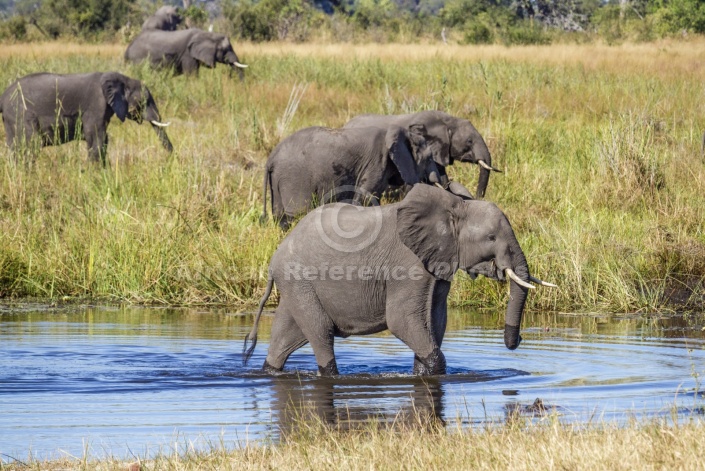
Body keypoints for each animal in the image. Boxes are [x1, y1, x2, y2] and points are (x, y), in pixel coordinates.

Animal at [0, 71, 174, 165]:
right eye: (145, 101)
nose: (173, 157)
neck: (122, 78)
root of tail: (3, 96)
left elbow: (103, 140)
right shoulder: (95, 105)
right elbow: (97, 138)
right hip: (20, 114)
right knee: (30, 144)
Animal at [245, 184, 560, 376]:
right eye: (491, 238)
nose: (518, 339)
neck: (453, 206)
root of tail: (275, 258)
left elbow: (435, 321)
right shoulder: (408, 264)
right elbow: (402, 319)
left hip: (297, 286)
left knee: (287, 335)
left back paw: (268, 370)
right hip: (299, 280)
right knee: (321, 333)